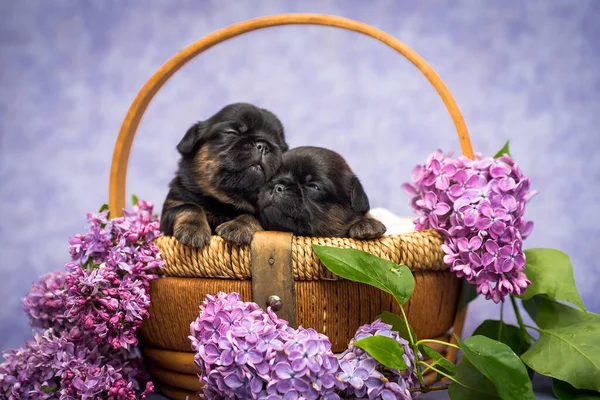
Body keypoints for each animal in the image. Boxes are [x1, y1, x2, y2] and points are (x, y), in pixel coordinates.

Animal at [159, 103, 288, 247]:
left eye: (281, 149)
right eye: (231, 133)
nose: (264, 145)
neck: (225, 200)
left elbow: (253, 216)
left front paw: (239, 226)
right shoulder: (172, 205)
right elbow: (189, 206)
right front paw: (193, 228)